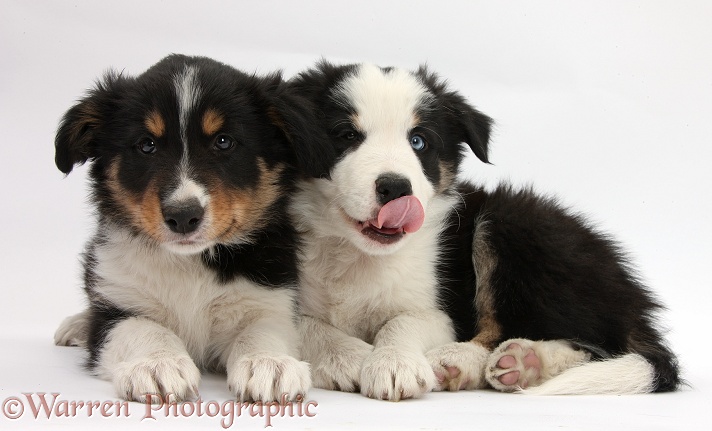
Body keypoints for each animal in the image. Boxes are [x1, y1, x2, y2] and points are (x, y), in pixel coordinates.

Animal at [51, 55, 312, 404]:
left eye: (224, 141)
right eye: (146, 145)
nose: (183, 216)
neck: (190, 263)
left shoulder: (269, 297)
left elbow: (262, 330)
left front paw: (269, 363)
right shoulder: (116, 306)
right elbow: (142, 327)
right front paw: (157, 364)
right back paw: (76, 325)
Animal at [286, 59, 680, 400]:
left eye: (419, 142)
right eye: (346, 135)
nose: (396, 188)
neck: (358, 254)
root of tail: (631, 299)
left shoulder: (441, 310)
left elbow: (402, 322)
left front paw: (394, 363)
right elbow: (305, 323)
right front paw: (350, 357)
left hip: (509, 224)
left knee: (580, 340)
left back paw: (483, 360)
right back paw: (520, 364)